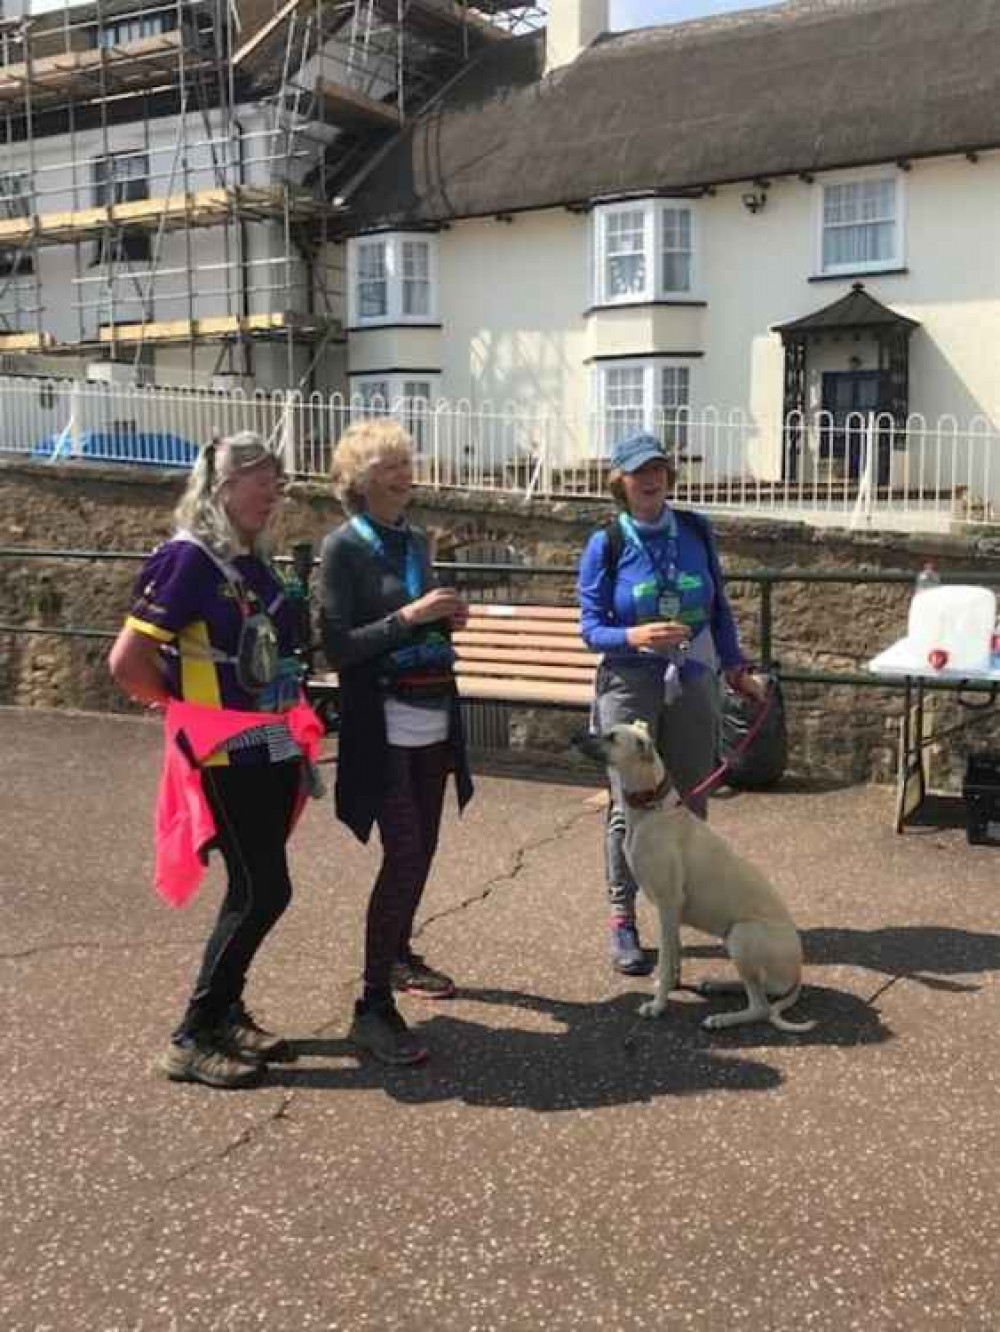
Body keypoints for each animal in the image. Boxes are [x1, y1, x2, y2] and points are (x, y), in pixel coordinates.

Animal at [577, 724, 814, 1033]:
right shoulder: (672, 911)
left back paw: (722, 1018)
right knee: (762, 991)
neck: (652, 809)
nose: (573, 737)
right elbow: (674, 954)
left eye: (612, 738)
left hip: (742, 936)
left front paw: (657, 1005)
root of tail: (798, 970)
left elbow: (666, 959)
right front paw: (669, 987)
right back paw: (718, 985)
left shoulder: (668, 905)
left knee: (761, 1007)